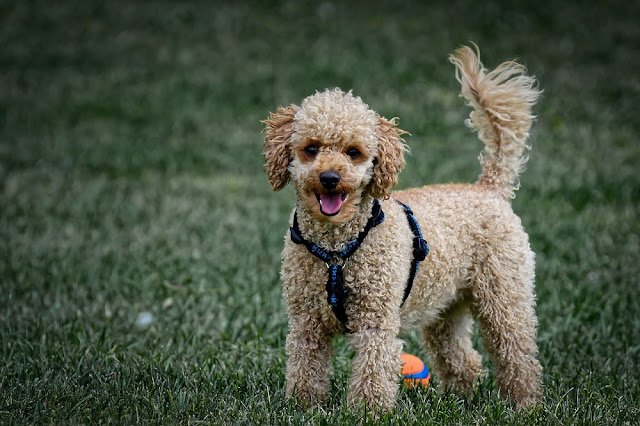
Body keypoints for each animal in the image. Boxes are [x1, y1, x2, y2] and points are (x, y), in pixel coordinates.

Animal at [262, 45, 544, 412]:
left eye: (354, 152)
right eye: (311, 148)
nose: (330, 178)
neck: (337, 248)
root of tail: (488, 188)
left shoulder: (376, 320)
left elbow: (372, 370)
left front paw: (368, 411)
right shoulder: (305, 322)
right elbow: (305, 365)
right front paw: (304, 405)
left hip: (504, 296)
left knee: (518, 354)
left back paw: (525, 403)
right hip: (445, 306)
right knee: (462, 357)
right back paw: (459, 398)